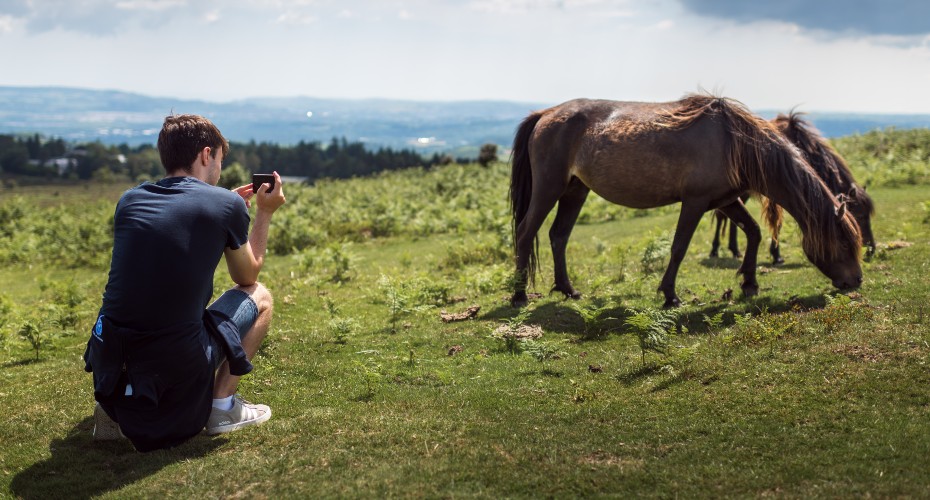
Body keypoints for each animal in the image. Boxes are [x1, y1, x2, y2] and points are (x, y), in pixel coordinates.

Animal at [709, 111, 876, 262]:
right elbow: (777, 223)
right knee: (720, 216)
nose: (871, 249)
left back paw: (735, 250)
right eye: (859, 216)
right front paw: (776, 255)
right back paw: (715, 250)